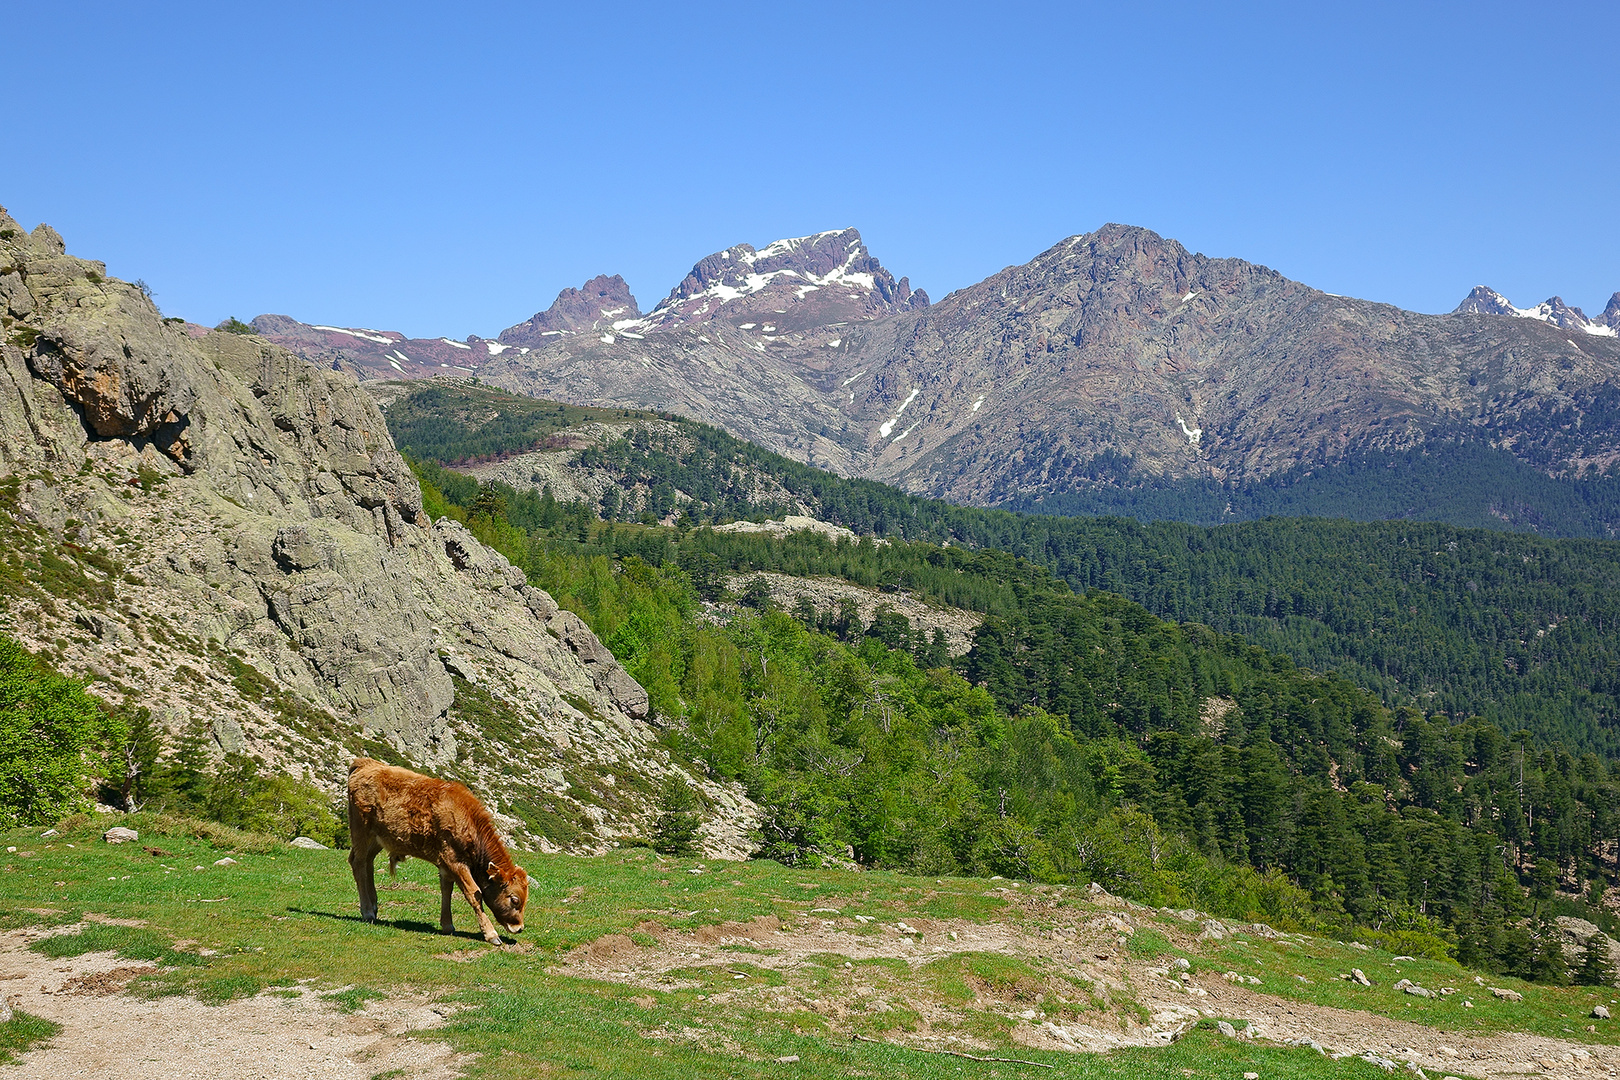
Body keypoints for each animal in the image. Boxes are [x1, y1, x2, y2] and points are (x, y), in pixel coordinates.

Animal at [345, 761, 528, 945]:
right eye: (514, 899)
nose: (519, 928)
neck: (465, 817)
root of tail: (365, 763)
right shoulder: (455, 862)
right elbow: (474, 894)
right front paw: (491, 934)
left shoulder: (445, 864)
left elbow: (446, 890)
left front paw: (447, 925)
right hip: (361, 829)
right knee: (358, 863)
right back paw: (367, 911)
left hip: (378, 838)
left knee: (368, 862)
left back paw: (374, 906)